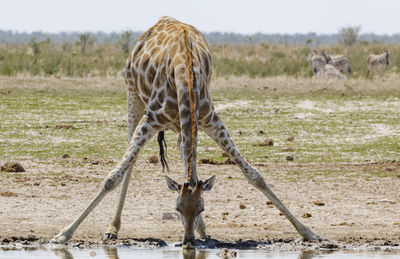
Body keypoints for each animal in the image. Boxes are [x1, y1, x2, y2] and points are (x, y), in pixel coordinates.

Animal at [51, 15, 324, 248]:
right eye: (177, 209)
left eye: (202, 208)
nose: (188, 242)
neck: (185, 76)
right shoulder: (151, 119)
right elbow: (112, 177)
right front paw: (63, 234)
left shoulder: (210, 120)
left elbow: (254, 175)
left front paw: (309, 232)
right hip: (133, 97)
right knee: (130, 163)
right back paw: (112, 228)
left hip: (182, 126)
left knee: (185, 158)